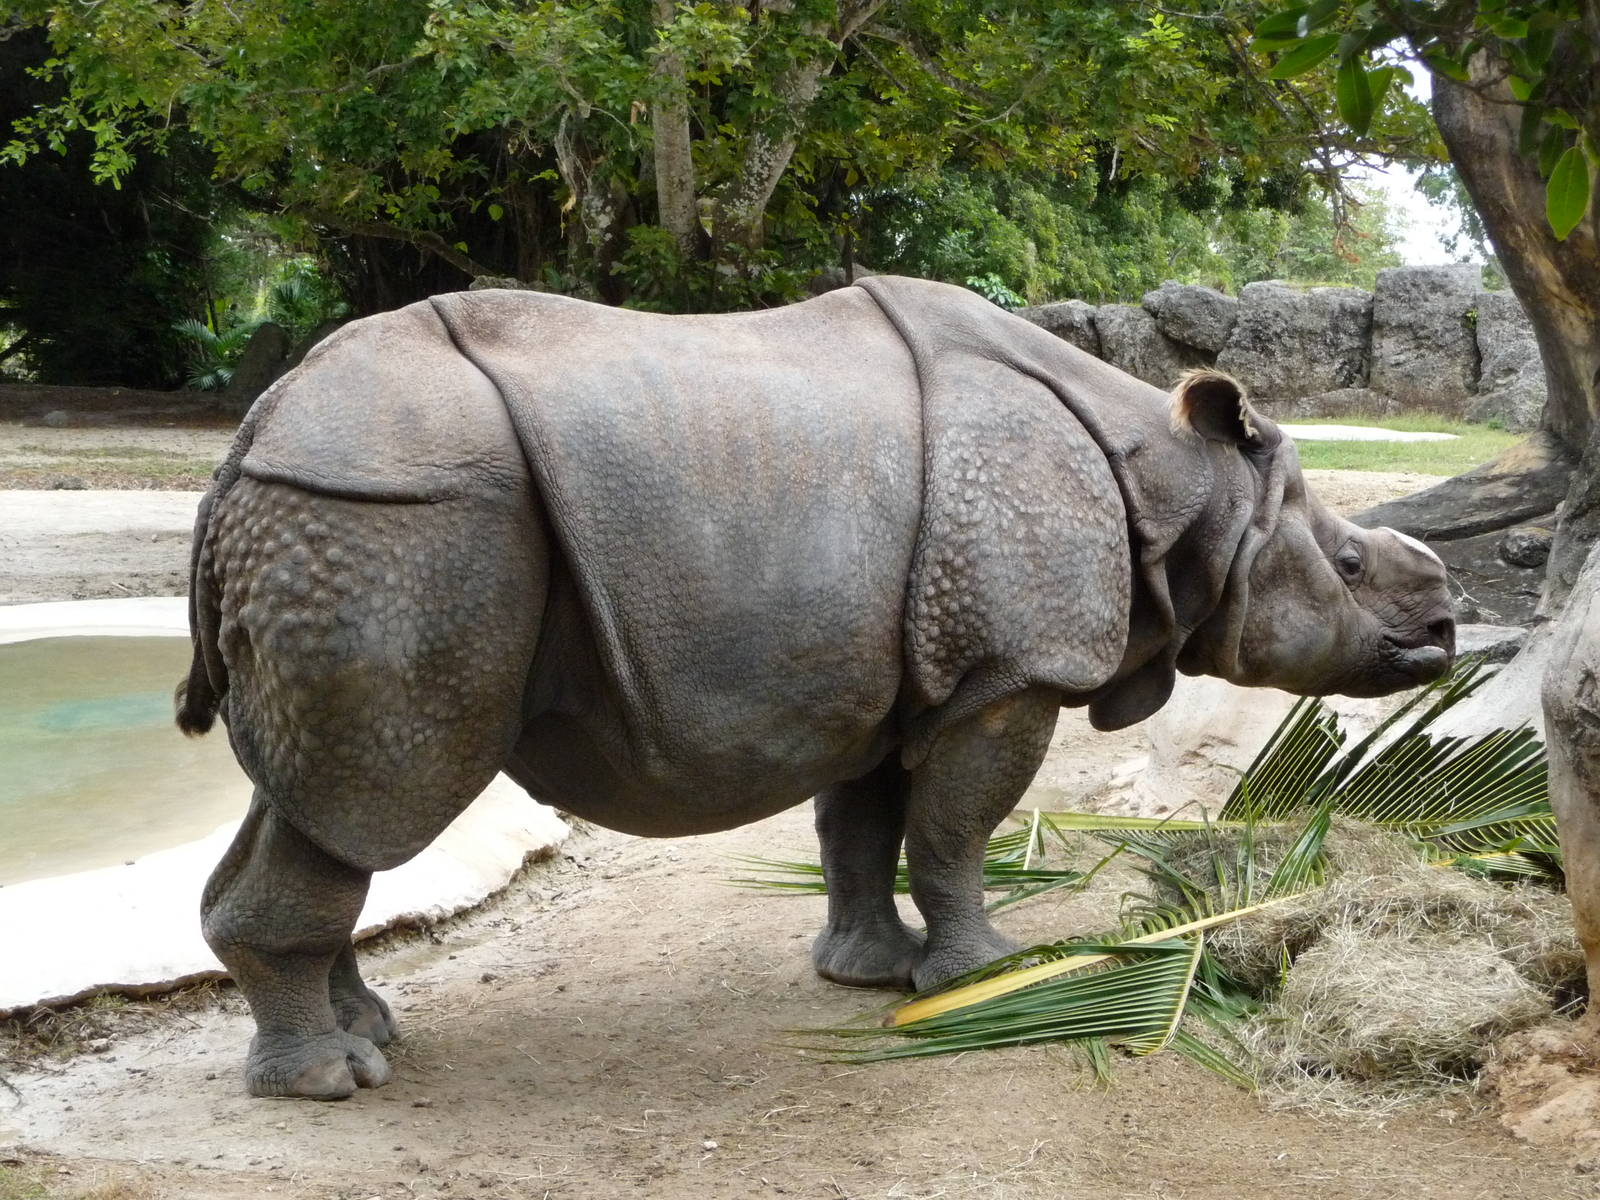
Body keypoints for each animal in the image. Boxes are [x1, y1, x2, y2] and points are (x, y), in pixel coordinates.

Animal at [177, 275, 1455, 1099]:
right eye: (1348, 567)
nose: (1444, 620)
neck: (1180, 489)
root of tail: (249, 438)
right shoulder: (1008, 669)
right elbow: (956, 828)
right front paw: (986, 974)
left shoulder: (899, 674)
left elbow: (865, 824)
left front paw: (867, 973)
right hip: (397, 521)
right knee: (380, 793)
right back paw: (333, 1084)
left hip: (354, 521)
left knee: (317, 802)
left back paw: (369, 1038)